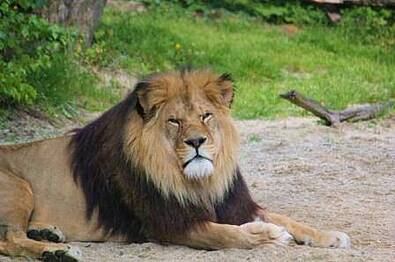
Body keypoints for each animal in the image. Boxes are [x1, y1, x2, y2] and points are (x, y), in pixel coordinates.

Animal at [0, 68, 352, 260]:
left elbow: (289, 219)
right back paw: (58, 252)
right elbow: (227, 236)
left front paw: (330, 236)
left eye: (206, 116)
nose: (196, 142)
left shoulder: (233, 205)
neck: (198, 181)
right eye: (174, 121)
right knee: (10, 240)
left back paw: (49, 234)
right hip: (19, 187)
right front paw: (269, 236)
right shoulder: (167, 223)